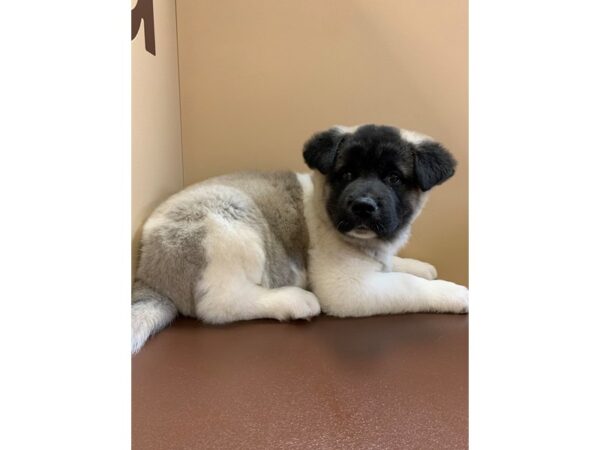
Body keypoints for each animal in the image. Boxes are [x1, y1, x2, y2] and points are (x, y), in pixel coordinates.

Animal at [132, 125, 468, 354]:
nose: (363, 206)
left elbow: (394, 266)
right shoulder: (346, 289)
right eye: (346, 174)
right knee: (219, 304)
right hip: (229, 220)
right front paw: (453, 292)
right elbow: (409, 286)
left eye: (393, 179)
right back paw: (293, 300)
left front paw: (418, 266)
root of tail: (148, 272)